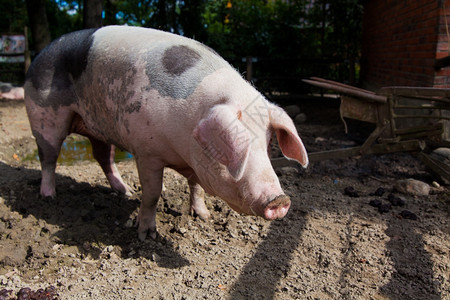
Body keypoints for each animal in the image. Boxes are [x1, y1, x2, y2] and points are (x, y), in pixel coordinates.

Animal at [23, 26, 306, 241]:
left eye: (267, 144)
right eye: (237, 148)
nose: (279, 200)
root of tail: (41, 54)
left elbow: (197, 187)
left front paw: (204, 217)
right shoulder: (146, 153)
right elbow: (152, 193)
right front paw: (146, 235)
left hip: (98, 127)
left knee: (103, 156)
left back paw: (125, 191)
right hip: (43, 117)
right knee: (48, 157)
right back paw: (49, 197)